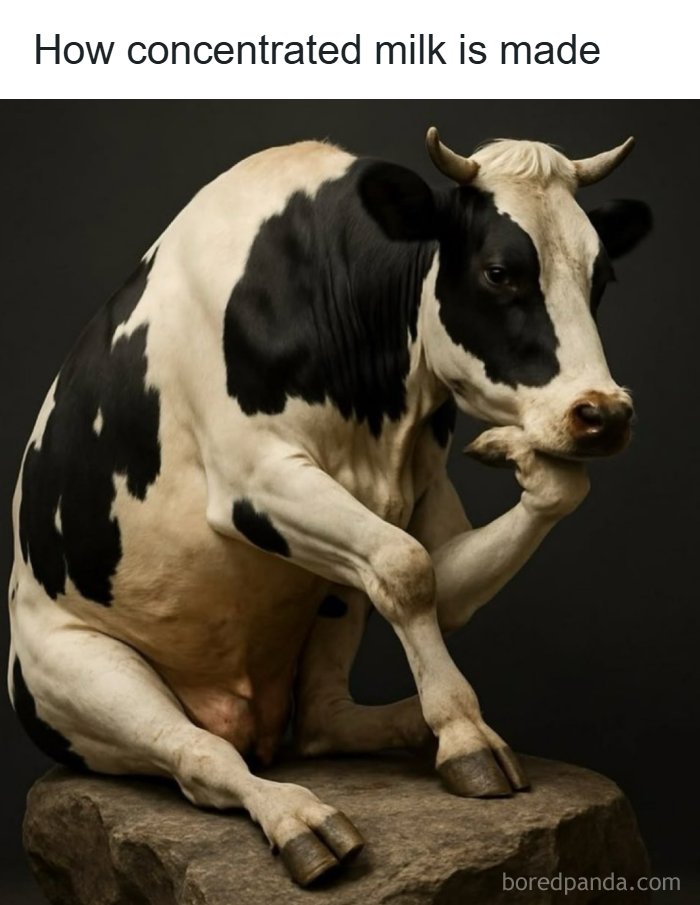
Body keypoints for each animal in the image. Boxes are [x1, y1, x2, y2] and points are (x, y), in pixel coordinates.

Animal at [7, 128, 651, 886]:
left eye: (601, 276)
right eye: (499, 272)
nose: (605, 413)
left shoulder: (418, 486)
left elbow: (468, 563)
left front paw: (512, 451)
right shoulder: (252, 480)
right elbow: (406, 566)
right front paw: (463, 731)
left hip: (326, 605)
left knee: (321, 721)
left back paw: (407, 723)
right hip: (80, 673)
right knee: (199, 757)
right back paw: (302, 820)